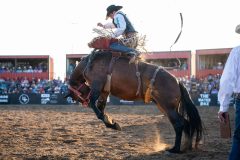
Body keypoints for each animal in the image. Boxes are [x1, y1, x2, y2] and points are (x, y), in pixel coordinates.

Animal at [65, 50, 202, 153]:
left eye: (77, 96)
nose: (84, 103)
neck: (89, 64)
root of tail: (178, 81)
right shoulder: (104, 91)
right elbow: (101, 107)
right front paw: (112, 123)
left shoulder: (97, 86)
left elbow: (96, 107)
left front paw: (111, 123)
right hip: (165, 107)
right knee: (186, 123)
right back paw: (186, 147)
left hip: (168, 108)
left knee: (179, 124)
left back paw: (175, 149)